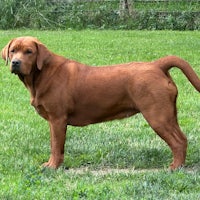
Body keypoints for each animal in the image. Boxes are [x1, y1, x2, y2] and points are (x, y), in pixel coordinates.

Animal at [1, 36, 200, 170]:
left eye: (29, 51)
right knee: (183, 139)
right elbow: (55, 145)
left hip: (158, 116)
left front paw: (53, 167)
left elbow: (56, 146)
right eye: (13, 51)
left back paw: (175, 167)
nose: (15, 62)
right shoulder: (53, 121)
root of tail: (157, 65)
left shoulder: (57, 119)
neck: (40, 75)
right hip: (169, 115)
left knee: (178, 142)